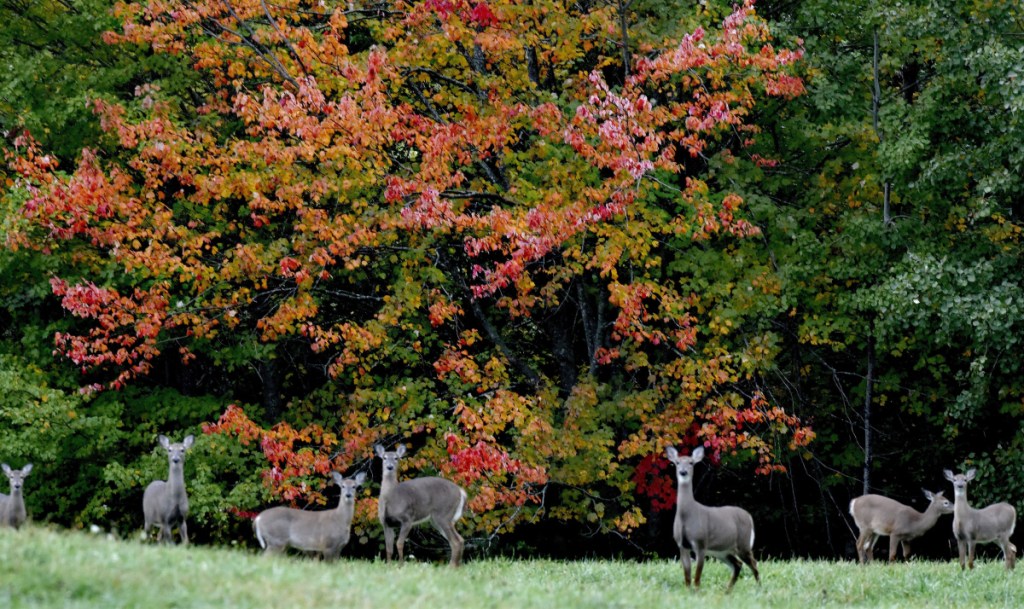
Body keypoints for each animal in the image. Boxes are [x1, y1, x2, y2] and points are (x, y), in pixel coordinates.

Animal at [663, 446, 761, 593]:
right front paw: (687, 591)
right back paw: (727, 591)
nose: (683, 472)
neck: (687, 516)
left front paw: (696, 592)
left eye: (691, 463)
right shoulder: (682, 545)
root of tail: (749, 517)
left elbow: (697, 576)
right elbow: (687, 576)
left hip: (743, 543)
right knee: (738, 564)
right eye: (677, 462)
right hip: (722, 551)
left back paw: (759, 588)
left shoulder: (700, 543)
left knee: (753, 563)